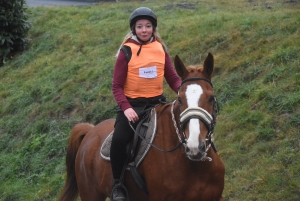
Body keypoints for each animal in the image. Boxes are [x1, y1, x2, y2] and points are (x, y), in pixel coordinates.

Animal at [57, 52, 224, 200]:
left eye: (211, 98)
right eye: (180, 99)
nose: (194, 147)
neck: (194, 166)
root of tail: (90, 132)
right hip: (91, 195)